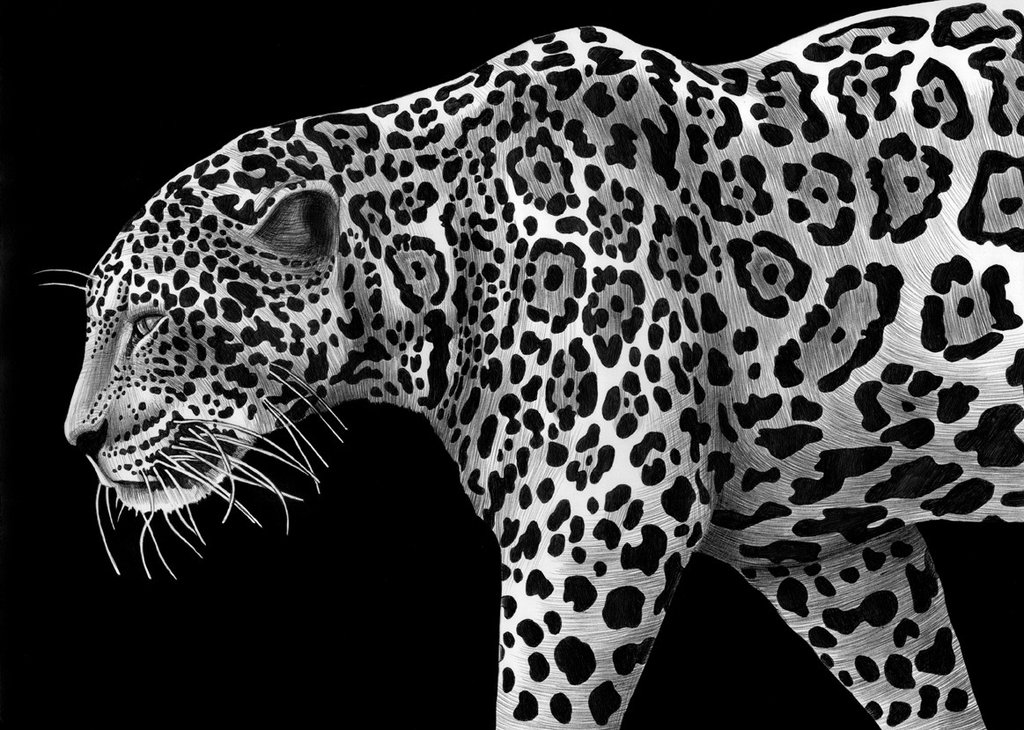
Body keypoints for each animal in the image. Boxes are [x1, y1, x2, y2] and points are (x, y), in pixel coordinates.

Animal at [56, 2, 1024, 727]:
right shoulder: (834, 555)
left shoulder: (592, 538)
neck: (435, 252)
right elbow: (926, 690)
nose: (77, 441)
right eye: (99, 321)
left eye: (148, 322)